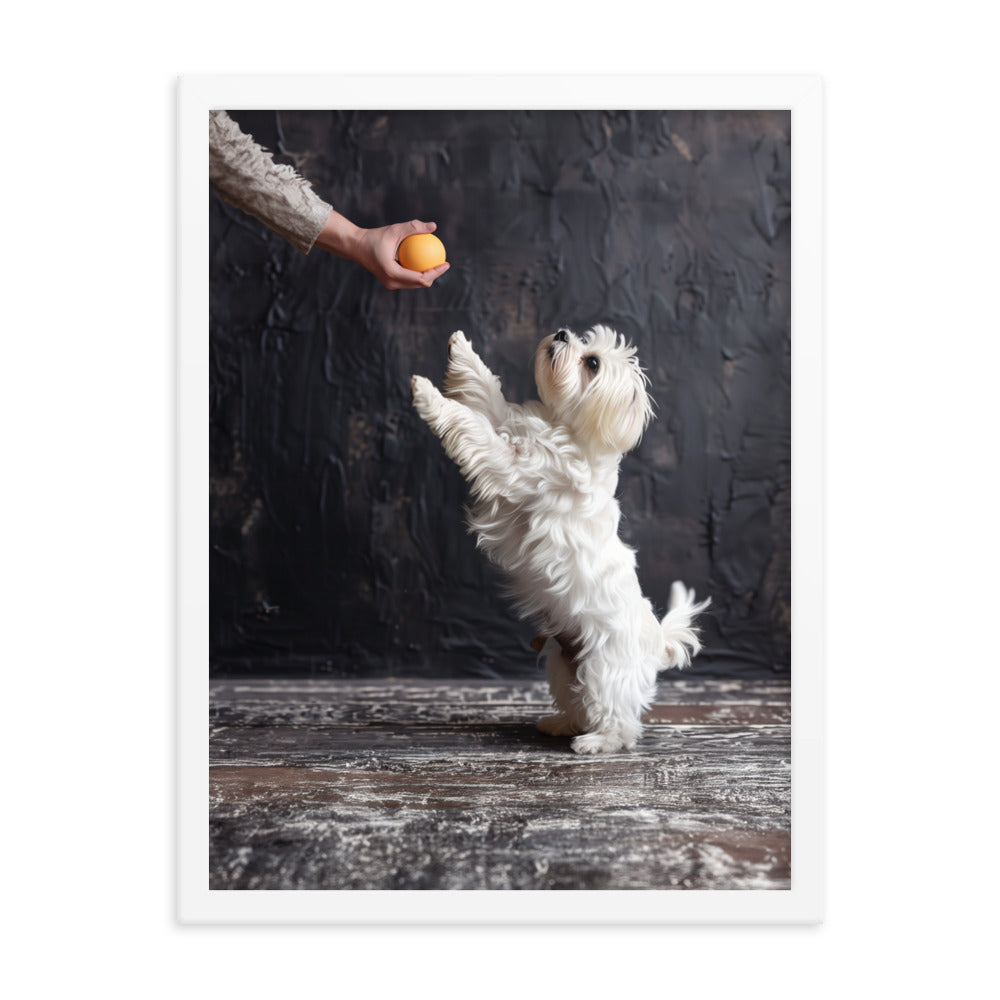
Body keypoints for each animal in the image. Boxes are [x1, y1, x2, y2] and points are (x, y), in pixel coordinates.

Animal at [410, 324, 708, 752]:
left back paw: (596, 743)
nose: (563, 332)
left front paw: (427, 395)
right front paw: (462, 351)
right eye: (584, 340)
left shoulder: (508, 463)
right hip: (562, 665)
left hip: (604, 670)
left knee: (621, 722)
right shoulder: (509, 426)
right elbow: (486, 392)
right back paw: (561, 724)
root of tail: (655, 642)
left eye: (592, 363)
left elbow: (472, 425)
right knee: (577, 703)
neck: (564, 428)